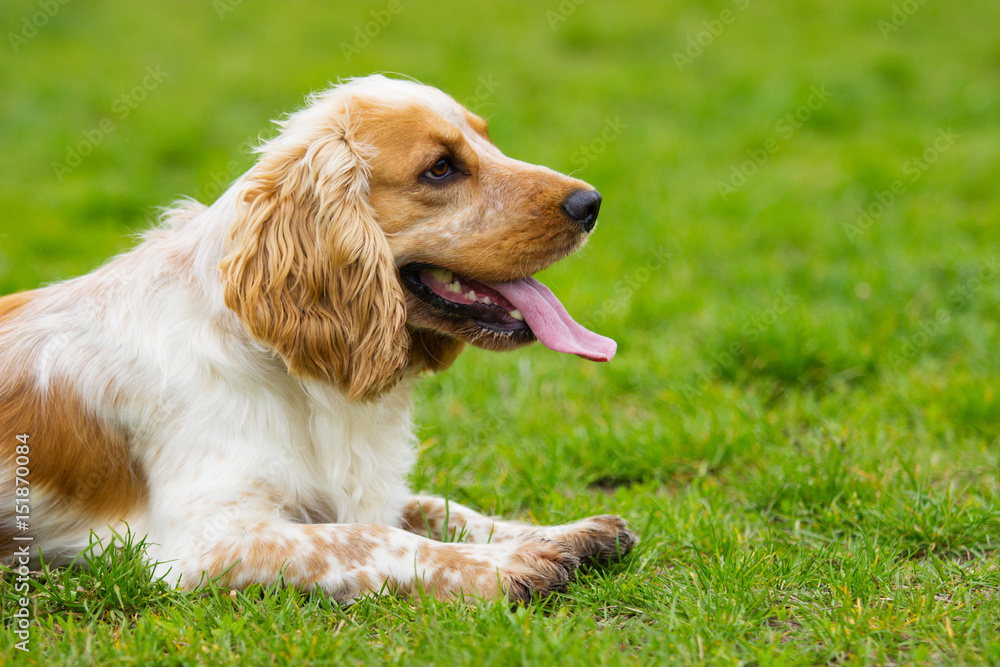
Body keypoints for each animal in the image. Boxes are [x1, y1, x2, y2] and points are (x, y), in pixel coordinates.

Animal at [0, 75, 636, 604]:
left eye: (488, 141)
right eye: (440, 168)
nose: (592, 203)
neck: (283, 366)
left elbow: (439, 508)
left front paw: (560, 533)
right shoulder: (204, 540)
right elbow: (372, 537)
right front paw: (506, 566)